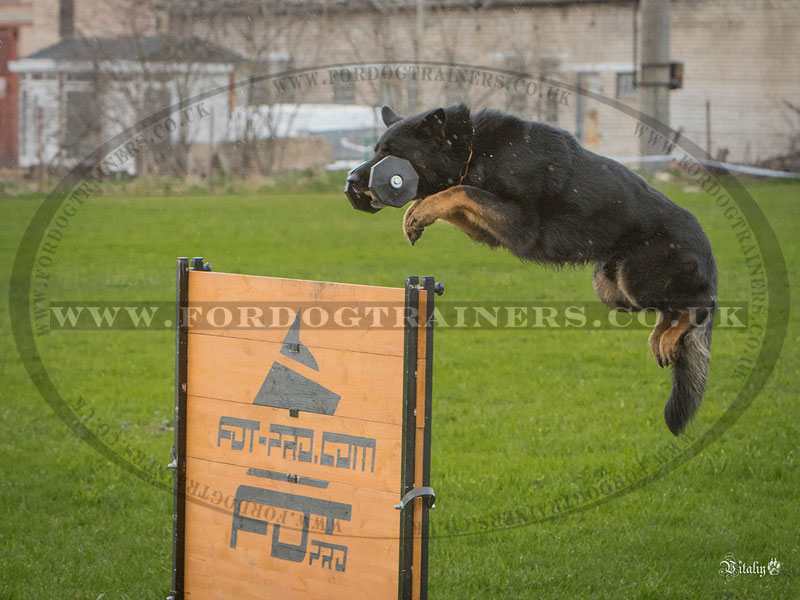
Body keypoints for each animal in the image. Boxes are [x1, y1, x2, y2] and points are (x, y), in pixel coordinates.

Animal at [344, 102, 720, 432]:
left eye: (390, 151)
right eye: (376, 149)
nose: (351, 181)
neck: (472, 149)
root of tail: (707, 246)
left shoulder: (520, 224)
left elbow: (461, 191)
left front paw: (420, 211)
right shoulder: (489, 230)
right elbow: (452, 195)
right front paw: (416, 213)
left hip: (638, 279)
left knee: (699, 305)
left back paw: (674, 331)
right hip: (612, 290)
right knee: (671, 310)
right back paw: (662, 338)